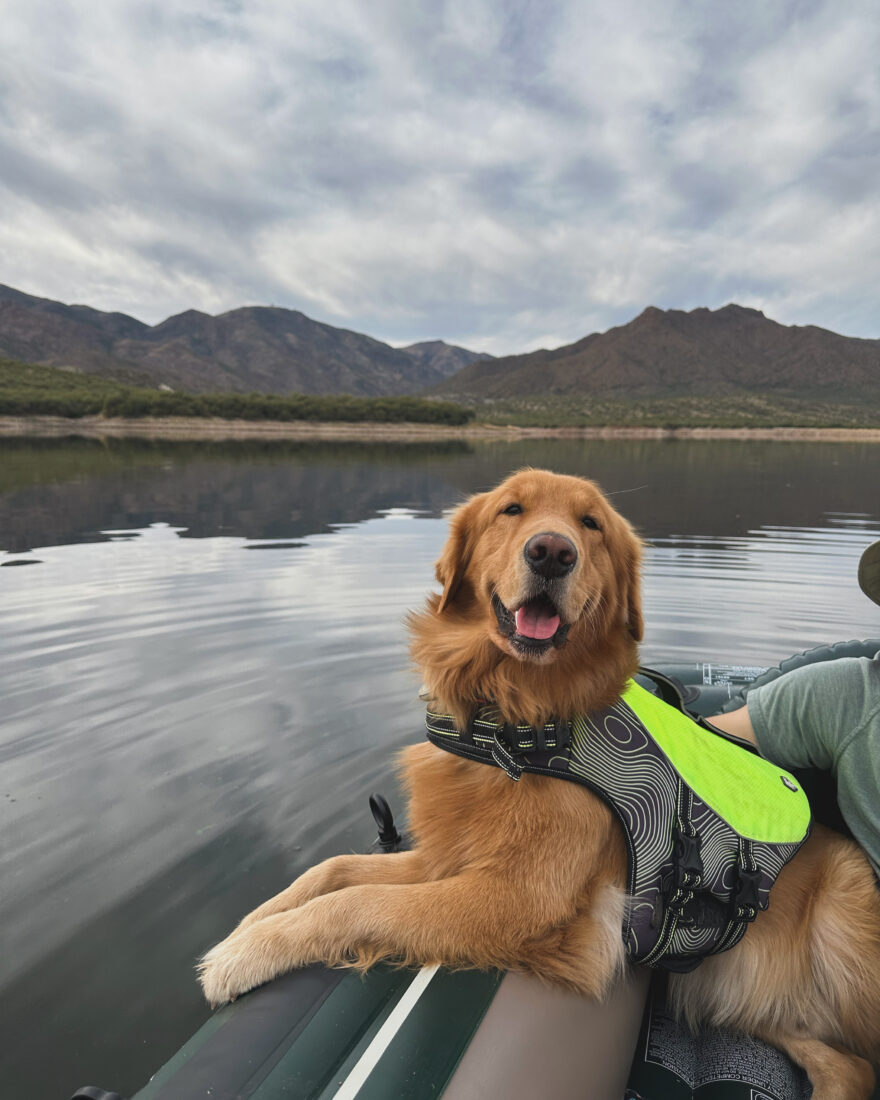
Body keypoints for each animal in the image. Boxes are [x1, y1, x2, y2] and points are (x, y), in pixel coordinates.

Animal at [199, 468, 880, 1095]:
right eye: (512, 509)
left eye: (591, 524)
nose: (551, 551)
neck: (513, 719)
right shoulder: (448, 858)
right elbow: (334, 870)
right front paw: (248, 925)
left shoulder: (514, 897)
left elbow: (356, 903)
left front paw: (245, 955)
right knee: (850, 1067)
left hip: (846, 927)